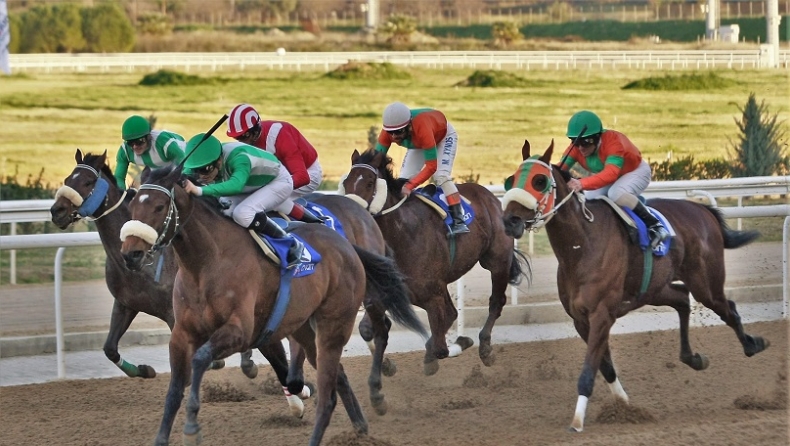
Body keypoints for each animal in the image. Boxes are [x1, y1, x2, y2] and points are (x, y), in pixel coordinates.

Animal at [48, 151, 312, 418]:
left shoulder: (173, 313)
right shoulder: (126, 303)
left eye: (88, 182)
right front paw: (144, 370)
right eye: (68, 178)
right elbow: (110, 348)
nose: (57, 211)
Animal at [119, 166, 420, 444]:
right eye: (132, 205)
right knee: (338, 376)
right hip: (304, 327)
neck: (206, 264)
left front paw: (192, 424)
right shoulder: (183, 334)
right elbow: (174, 391)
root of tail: (346, 245)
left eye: (159, 206)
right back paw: (359, 427)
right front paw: (162, 437)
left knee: (343, 374)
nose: (131, 254)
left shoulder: (240, 331)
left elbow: (201, 359)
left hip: (336, 322)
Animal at [338, 148, 528, 374]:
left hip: (497, 261)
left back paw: (485, 348)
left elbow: (439, 347)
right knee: (453, 313)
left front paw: (453, 346)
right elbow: (366, 329)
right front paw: (387, 365)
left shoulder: (432, 295)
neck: (402, 236)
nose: (350, 213)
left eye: (369, 183)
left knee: (495, 302)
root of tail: (489, 196)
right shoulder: (392, 292)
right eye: (346, 182)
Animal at [504, 139, 772, 432]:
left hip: (706, 284)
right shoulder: (580, 319)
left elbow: (588, 371)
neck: (582, 245)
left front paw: (577, 422)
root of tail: (702, 210)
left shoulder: (602, 314)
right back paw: (693, 358)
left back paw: (753, 345)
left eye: (539, 181)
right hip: (654, 289)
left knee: (728, 308)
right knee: (682, 298)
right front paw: (624, 406)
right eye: (511, 180)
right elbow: (605, 366)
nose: (509, 221)